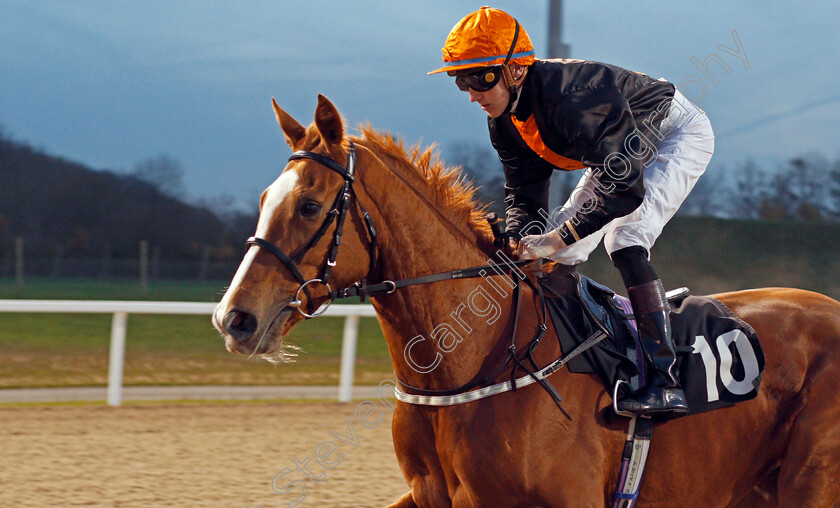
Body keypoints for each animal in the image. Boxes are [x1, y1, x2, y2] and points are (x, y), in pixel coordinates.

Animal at [213, 94, 840, 504]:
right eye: (265, 198)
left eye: (309, 206)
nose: (233, 318)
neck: (479, 359)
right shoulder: (430, 495)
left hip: (809, 482)